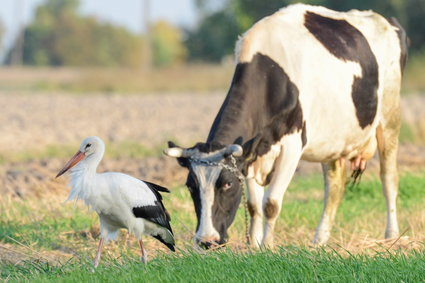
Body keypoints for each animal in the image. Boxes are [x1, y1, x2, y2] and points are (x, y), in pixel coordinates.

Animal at [163, 3, 408, 248]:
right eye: (191, 186)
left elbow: (270, 204)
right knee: (335, 184)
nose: (206, 240)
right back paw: (319, 240)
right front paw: (253, 246)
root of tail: (384, 20)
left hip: (390, 117)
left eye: (227, 184)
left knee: (389, 177)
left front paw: (267, 246)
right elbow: (253, 206)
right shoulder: (251, 153)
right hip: (333, 138)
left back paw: (391, 235)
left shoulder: (292, 146)